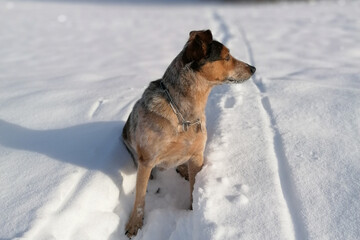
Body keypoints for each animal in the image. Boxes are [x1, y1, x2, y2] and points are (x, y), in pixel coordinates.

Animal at [122, 29, 255, 237]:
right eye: (227, 57)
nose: (253, 68)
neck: (183, 113)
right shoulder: (147, 160)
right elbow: (140, 198)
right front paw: (135, 224)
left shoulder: (197, 155)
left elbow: (194, 187)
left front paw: (193, 209)